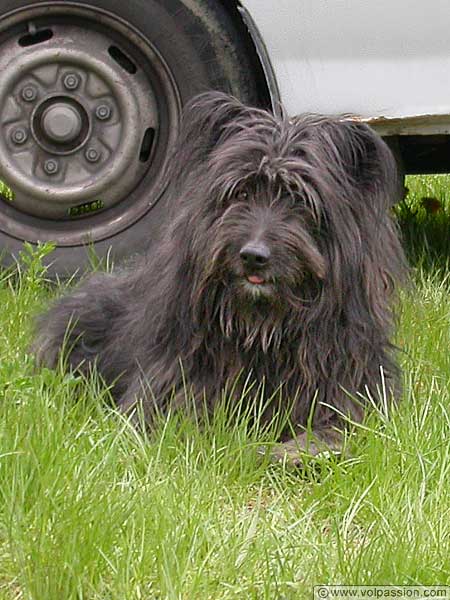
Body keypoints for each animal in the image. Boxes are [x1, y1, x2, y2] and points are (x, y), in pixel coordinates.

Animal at [35, 90, 406, 464]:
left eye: (300, 200)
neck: (264, 328)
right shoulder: (173, 388)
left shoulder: (346, 389)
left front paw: (291, 452)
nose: (253, 256)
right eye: (240, 193)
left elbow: (336, 429)